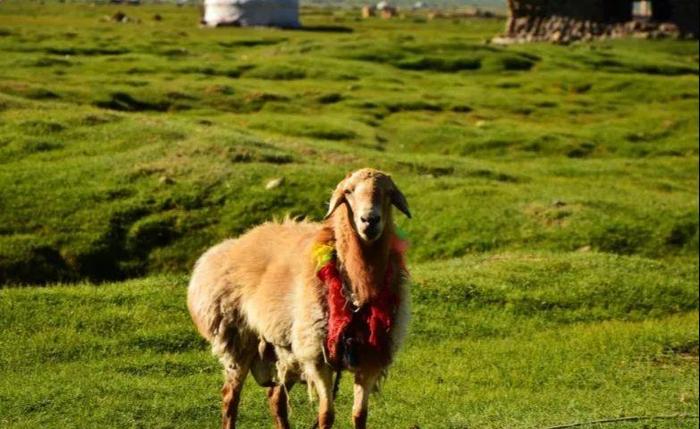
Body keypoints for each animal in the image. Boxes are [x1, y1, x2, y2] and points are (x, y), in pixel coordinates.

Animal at [189, 168, 412, 428]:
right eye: (348, 191)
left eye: (388, 193)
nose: (370, 220)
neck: (357, 285)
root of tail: (234, 243)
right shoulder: (317, 356)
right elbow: (326, 415)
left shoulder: (371, 357)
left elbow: (359, 414)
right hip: (238, 339)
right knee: (230, 398)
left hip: (284, 350)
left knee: (275, 398)